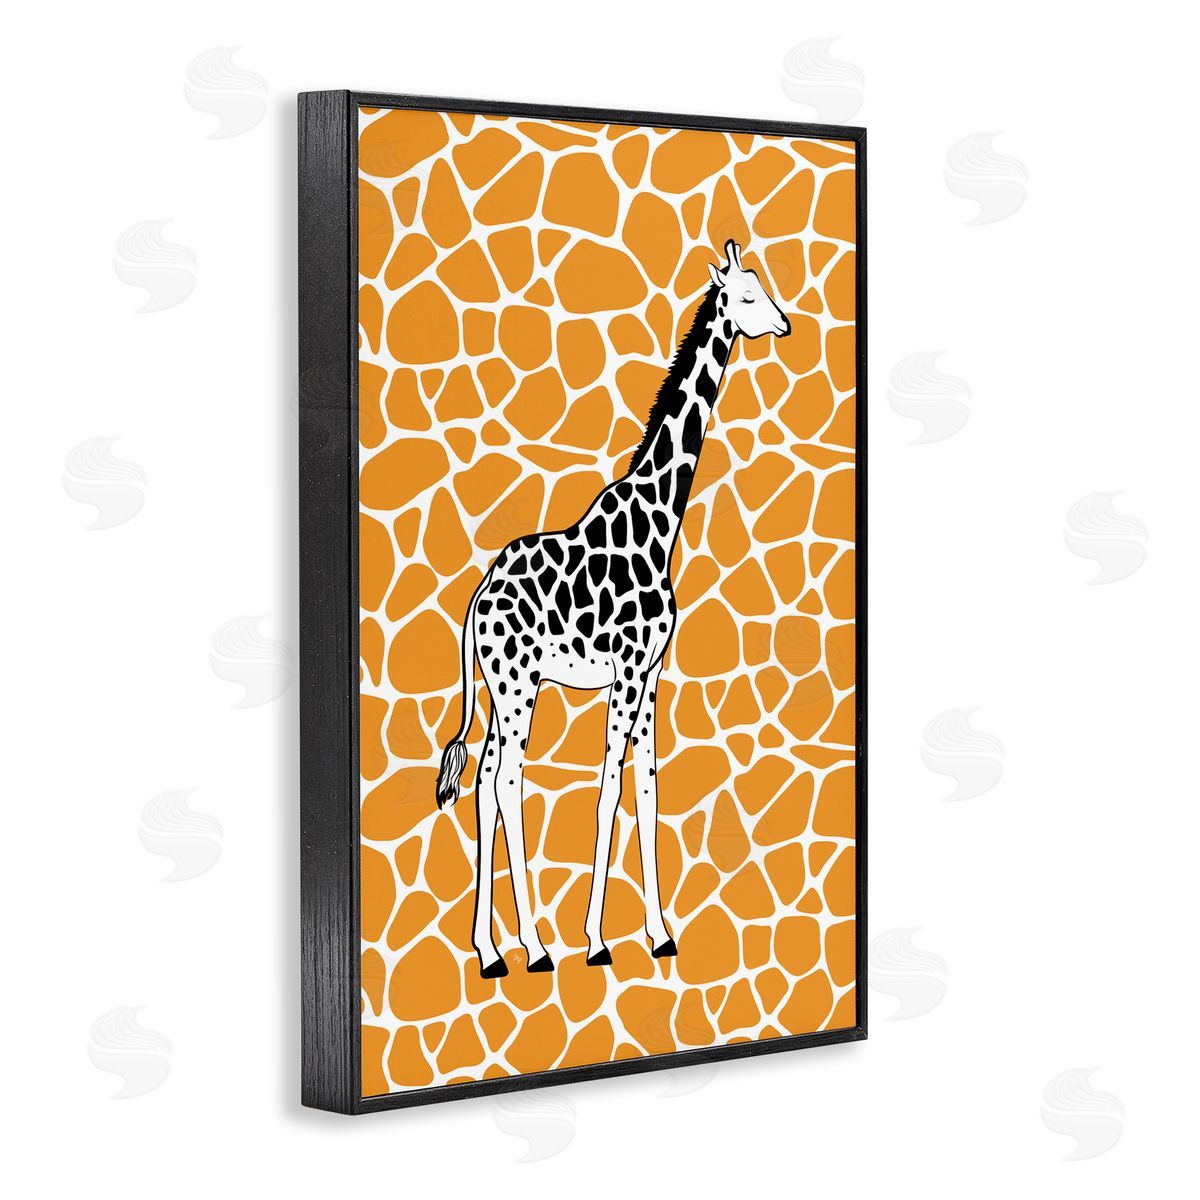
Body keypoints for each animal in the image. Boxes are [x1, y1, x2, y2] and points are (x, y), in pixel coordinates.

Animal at [435, 241, 792, 978]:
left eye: (764, 287)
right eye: (746, 296)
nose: (784, 324)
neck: (659, 518)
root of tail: (477, 597)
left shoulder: (652, 675)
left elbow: (649, 796)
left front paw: (659, 934)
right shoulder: (625, 676)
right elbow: (608, 793)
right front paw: (596, 939)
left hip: (499, 687)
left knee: (482, 782)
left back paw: (489, 950)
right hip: (519, 685)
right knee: (508, 781)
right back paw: (536, 947)